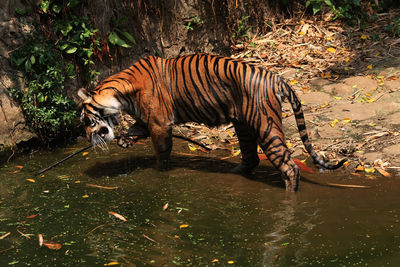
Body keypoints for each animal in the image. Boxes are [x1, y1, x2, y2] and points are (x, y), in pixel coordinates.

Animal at [79, 54, 346, 193]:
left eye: (86, 121)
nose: (87, 136)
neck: (121, 94)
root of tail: (276, 77)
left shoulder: (160, 123)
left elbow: (162, 153)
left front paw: (159, 172)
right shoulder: (148, 120)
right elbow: (136, 128)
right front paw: (125, 140)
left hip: (265, 125)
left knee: (290, 167)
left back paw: (290, 194)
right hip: (242, 124)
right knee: (250, 157)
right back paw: (234, 173)